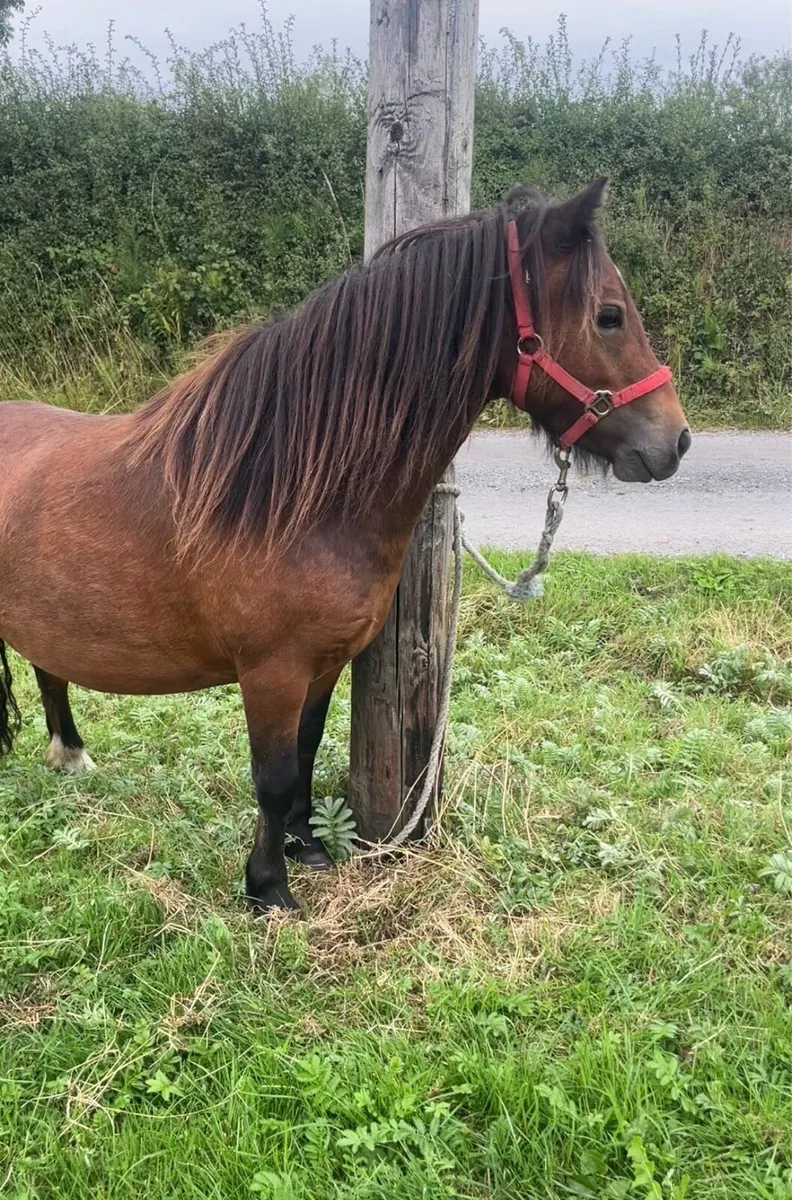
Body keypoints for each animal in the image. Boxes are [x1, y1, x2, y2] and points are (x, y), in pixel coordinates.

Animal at [0, 178, 690, 913]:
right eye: (609, 316)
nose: (675, 440)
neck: (288, 489)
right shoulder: (271, 672)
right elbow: (273, 775)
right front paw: (269, 889)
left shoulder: (324, 663)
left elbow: (304, 753)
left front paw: (306, 848)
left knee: (49, 668)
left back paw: (70, 756)